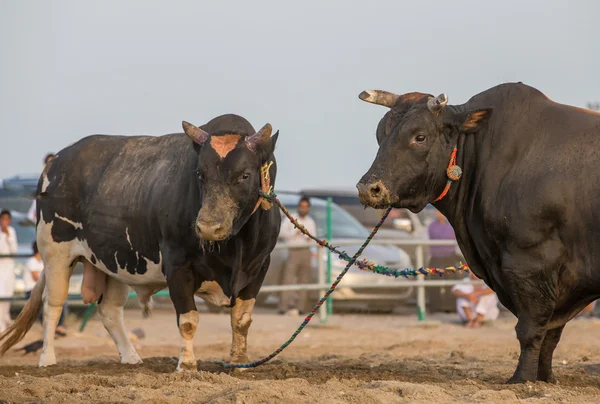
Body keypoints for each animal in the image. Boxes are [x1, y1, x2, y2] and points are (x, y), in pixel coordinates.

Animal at [0, 113, 282, 372]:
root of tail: (56, 162)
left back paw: (131, 357)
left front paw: (239, 362)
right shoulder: (178, 267)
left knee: (110, 310)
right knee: (52, 306)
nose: (208, 227)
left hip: (115, 262)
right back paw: (47, 359)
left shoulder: (258, 269)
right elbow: (188, 320)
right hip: (56, 254)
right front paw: (187, 365)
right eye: (200, 174)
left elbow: (241, 319)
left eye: (245, 175)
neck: (235, 248)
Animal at [356, 83, 600, 386]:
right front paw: (545, 379)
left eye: (419, 136)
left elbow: (531, 329)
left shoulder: (529, 264)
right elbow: (551, 333)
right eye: (381, 134)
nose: (369, 188)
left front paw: (521, 380)